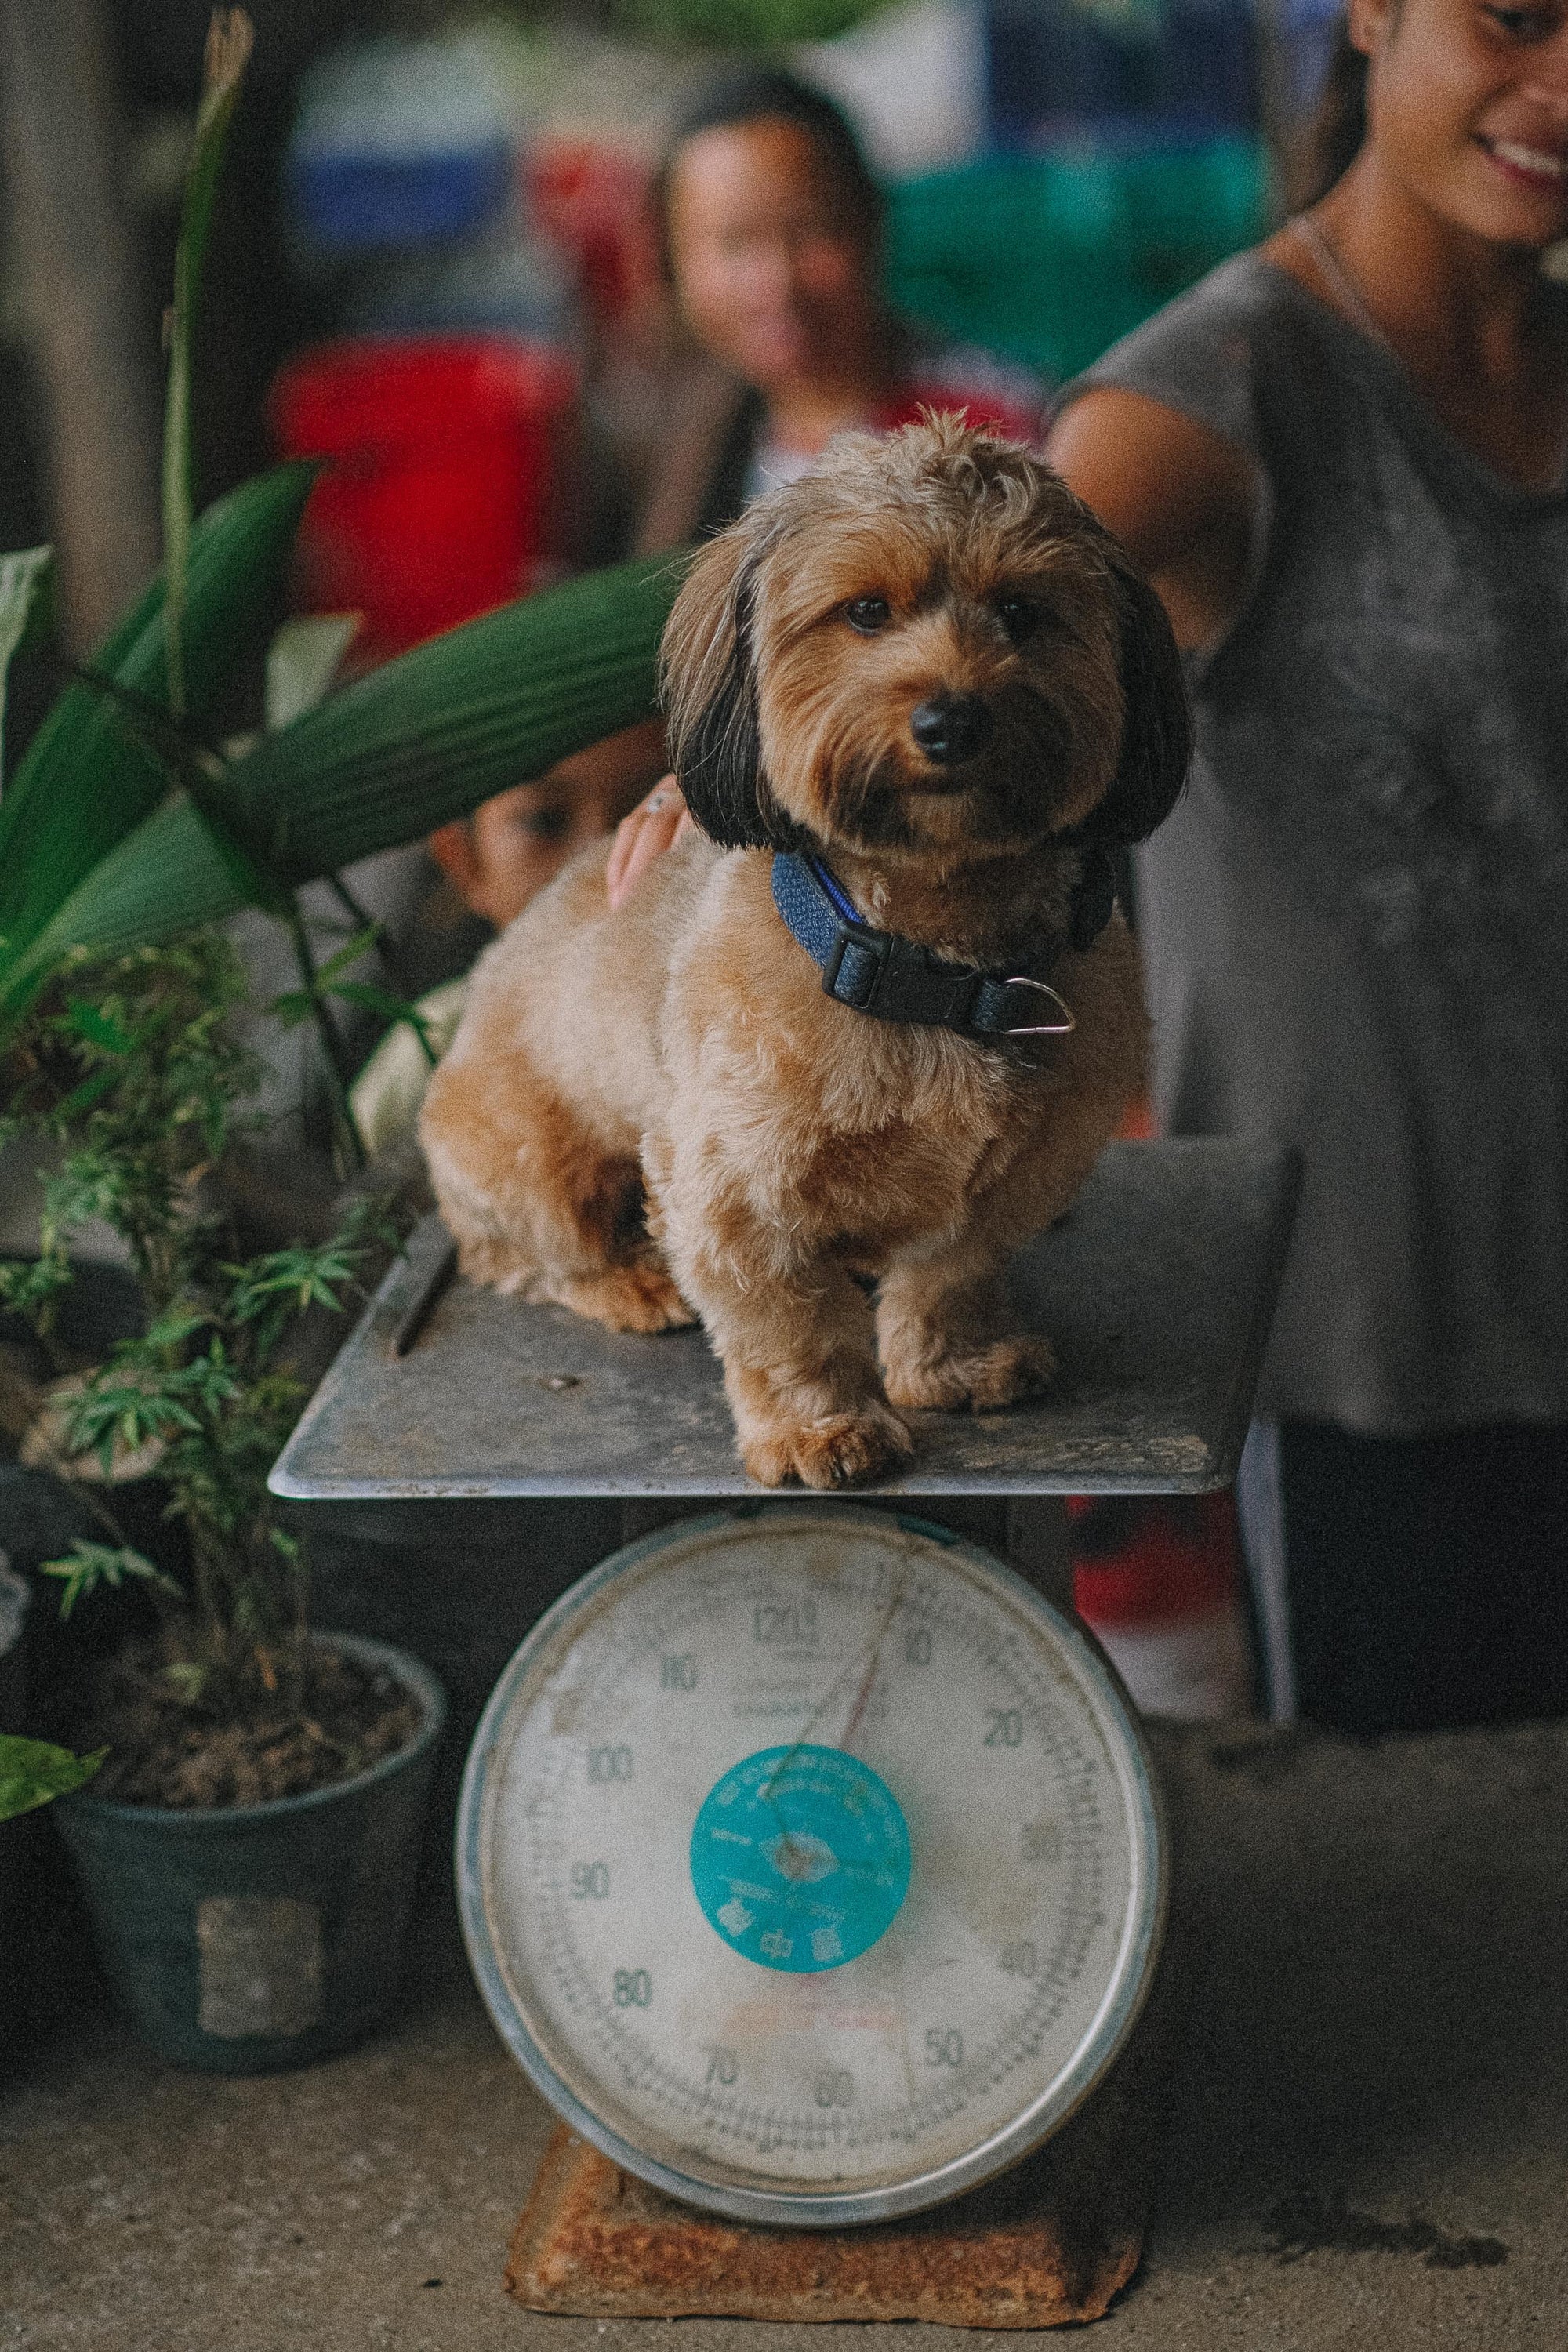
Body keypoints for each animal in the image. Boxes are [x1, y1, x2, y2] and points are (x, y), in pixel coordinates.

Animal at [420, 419, 1189, 1486]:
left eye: (1022, 611)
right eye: (865, 611)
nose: (951, 719)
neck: (931, 966)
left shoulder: (1021, 1170)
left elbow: (951, 1270)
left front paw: (952, 1363)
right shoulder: (733, 1185)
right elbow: (787, 1323)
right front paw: (817, 1428)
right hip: (527, 1155)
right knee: (524, 1250)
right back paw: (628, 1279)